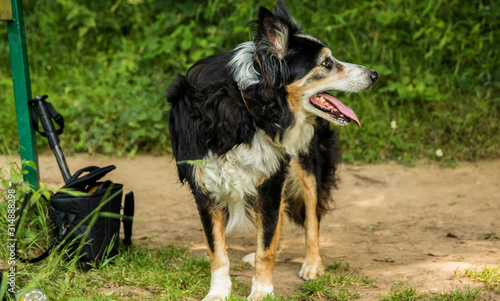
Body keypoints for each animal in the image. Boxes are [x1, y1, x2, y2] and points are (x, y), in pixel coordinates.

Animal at [167, 1, 376, 298]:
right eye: (326, 63)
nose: (374, 75)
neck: (250, 106)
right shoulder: (204, 187)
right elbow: (217, 251)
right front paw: (218, 292)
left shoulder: (271, 181)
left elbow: (267, 245)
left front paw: (262, 291)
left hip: (306, 163)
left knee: (312, 218)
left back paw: (312, 264)